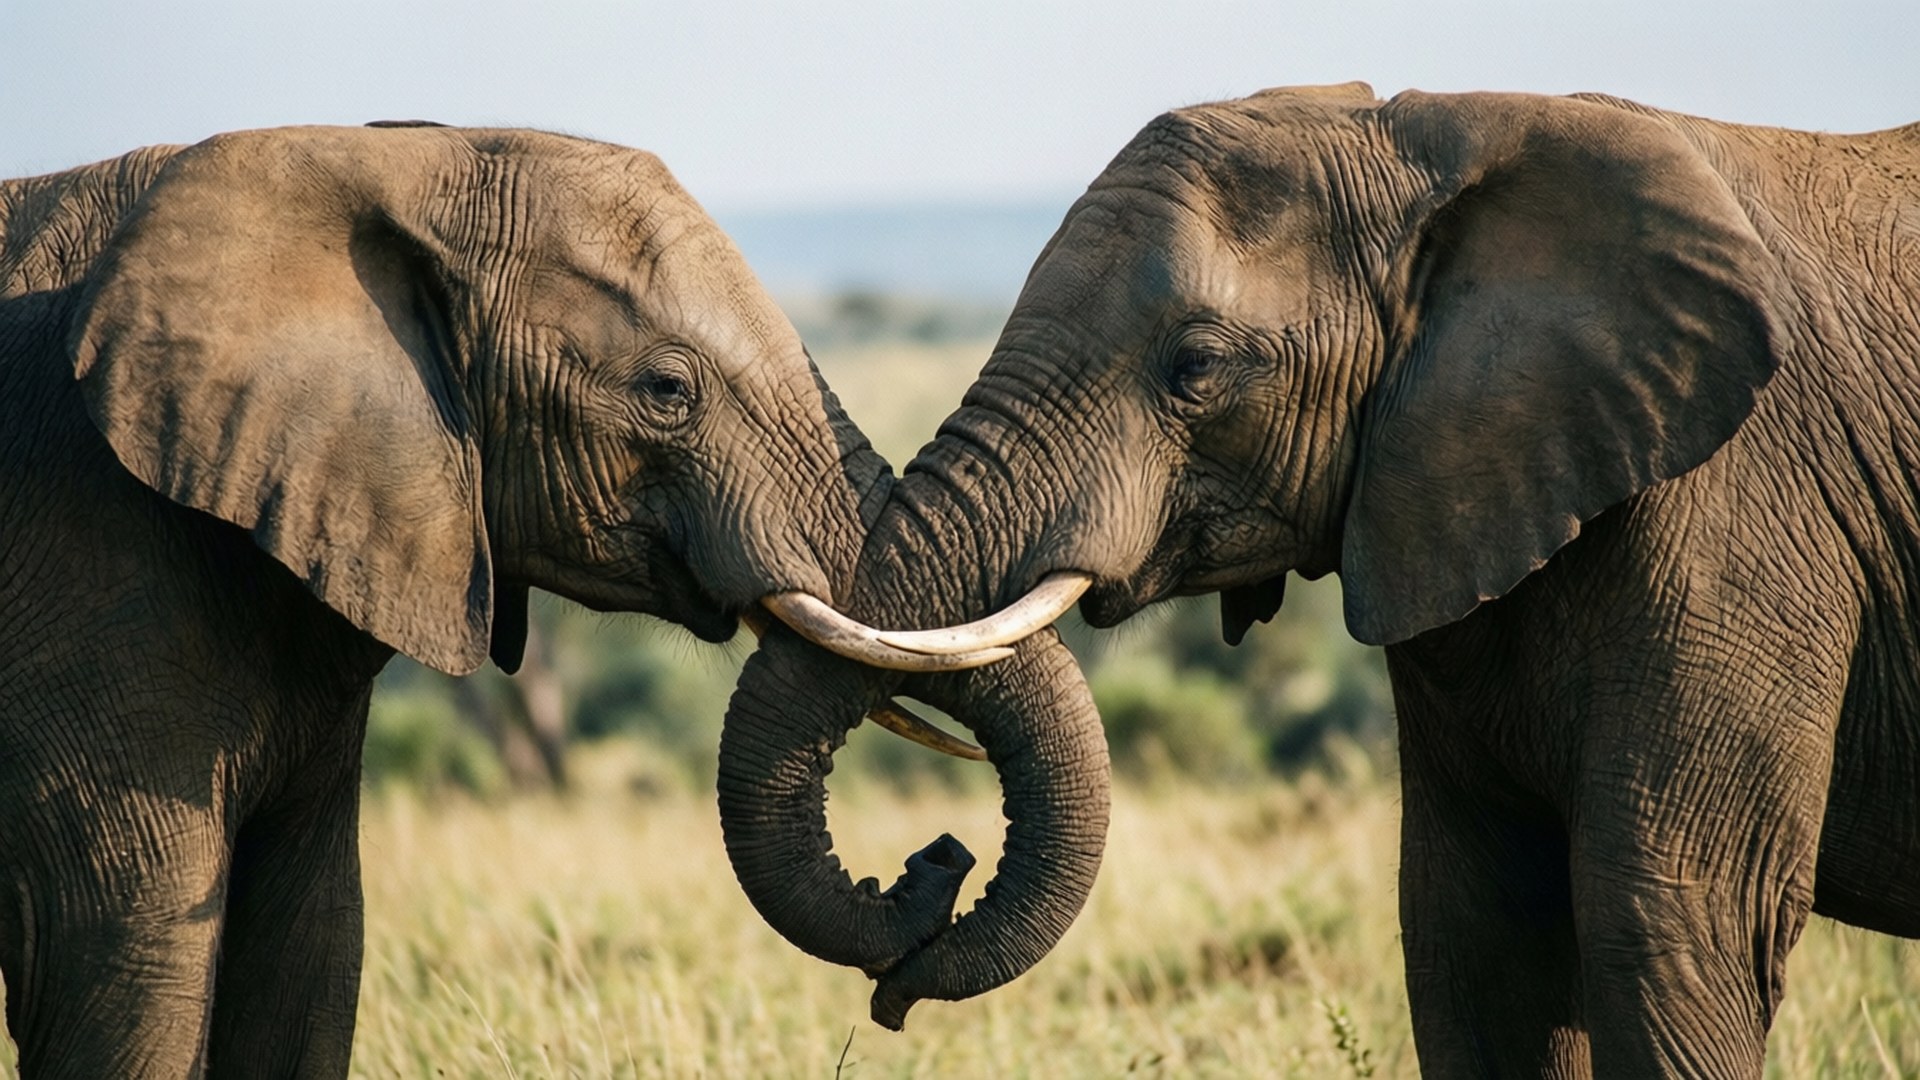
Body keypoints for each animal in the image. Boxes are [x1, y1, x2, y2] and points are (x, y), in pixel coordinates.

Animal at [0, 122, 1004, 1078]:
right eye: (668, 390)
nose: (943, 854)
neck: (380, 160)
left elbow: (309, 953)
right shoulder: (98, 555)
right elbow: (130, 967)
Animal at [718, 83, 1920, 1076]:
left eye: (1197, 367)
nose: (934, 863)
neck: (1433, 140)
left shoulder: (1744, 513)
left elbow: (1669, 917)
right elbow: (1476, 933)